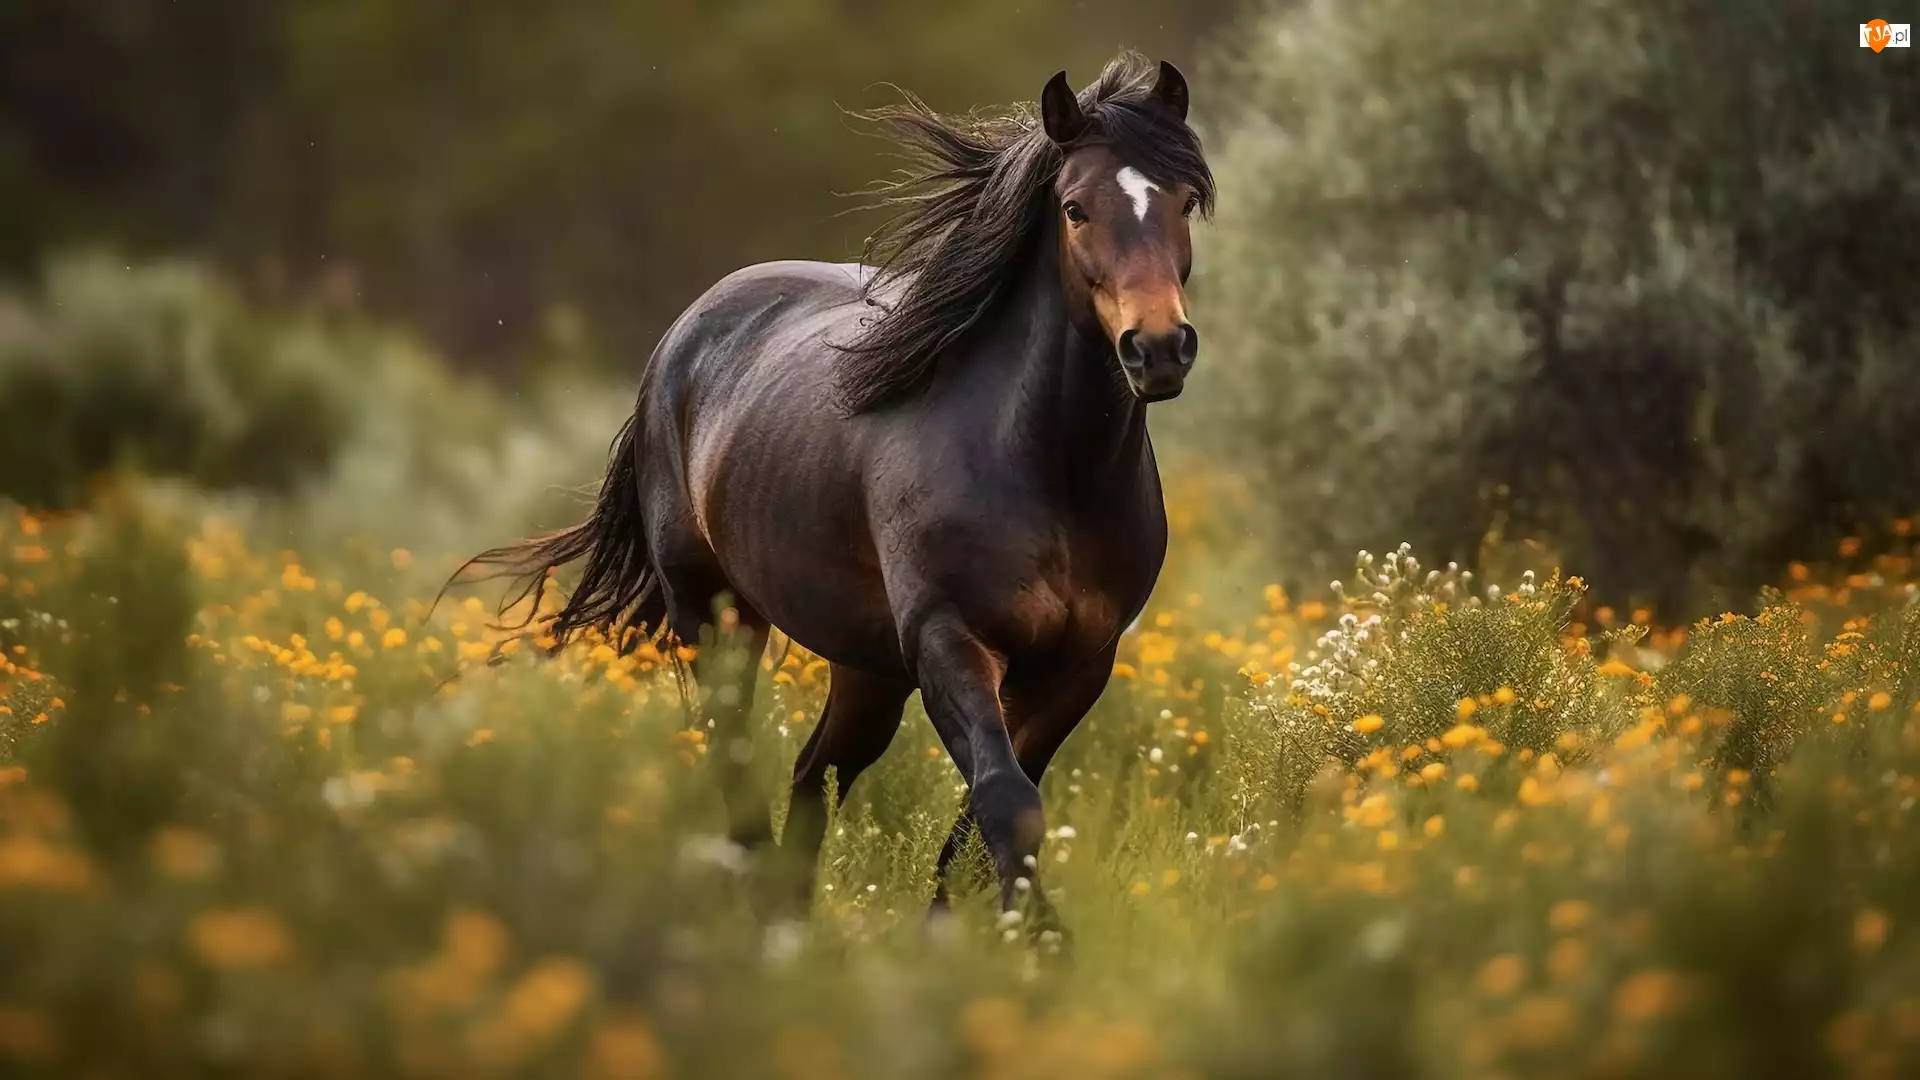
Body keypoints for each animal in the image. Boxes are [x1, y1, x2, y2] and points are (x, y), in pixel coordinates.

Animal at [468, 48, 1213, 926]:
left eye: (1185, 201)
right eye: (1074, 208)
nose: (1157, 348)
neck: (1045, 467)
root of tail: (683, 336)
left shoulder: (1079, 665)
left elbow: (990, 810)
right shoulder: (948, 639)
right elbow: (1005, 796)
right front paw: (1037, 937)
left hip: (868, 665)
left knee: (814, 770)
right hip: (715, 612)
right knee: (735, 751)